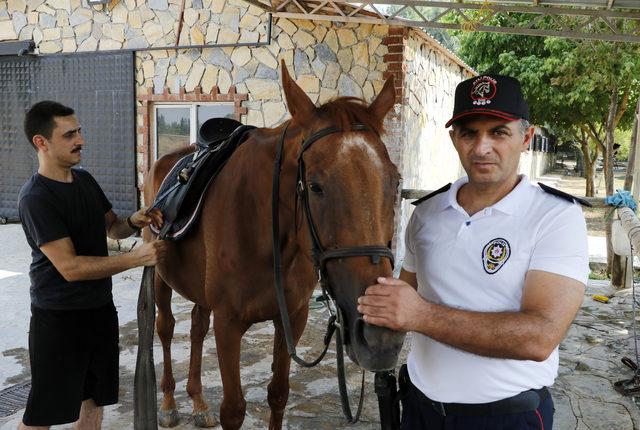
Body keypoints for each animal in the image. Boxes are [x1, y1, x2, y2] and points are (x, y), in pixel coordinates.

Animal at [145, 61, 404, 430]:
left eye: (395, 182)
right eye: (315, 186)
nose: (380, 336)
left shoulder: (292, 318)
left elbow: (279, 394)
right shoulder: (228, 325)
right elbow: (233, 409)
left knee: (196, 327)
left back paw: (197, 402)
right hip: (159, 277)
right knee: (166, 329)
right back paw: (168, 403)